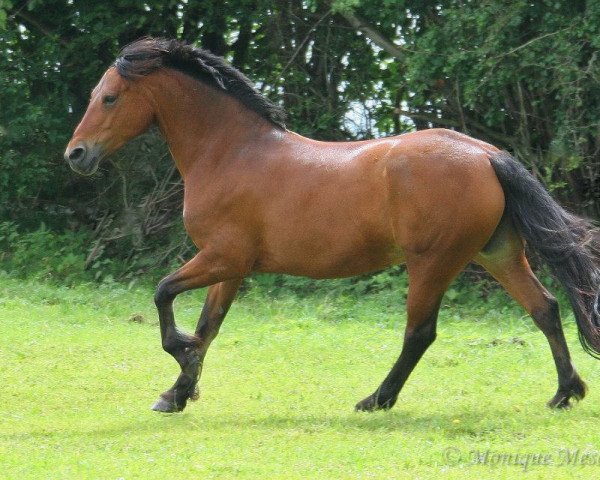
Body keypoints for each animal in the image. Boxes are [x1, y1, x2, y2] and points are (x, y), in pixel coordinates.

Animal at [65, 36, 600, 412]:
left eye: (109, 98)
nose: (76, 155)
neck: (230, 153)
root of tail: (486, 154)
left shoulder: (222, 257)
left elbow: (163, 295)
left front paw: (180, 358)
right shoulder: (230, 268)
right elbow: (208, 325)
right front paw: (177, 392)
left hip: (434, 262)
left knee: (420, 333)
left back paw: (376, 399)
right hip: (497, 253)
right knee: (546, 308)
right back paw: (565, 392)